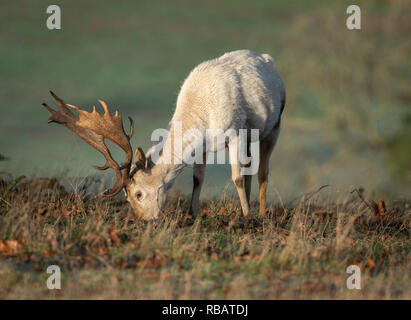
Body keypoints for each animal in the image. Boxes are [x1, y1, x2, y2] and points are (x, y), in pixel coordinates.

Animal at [42, 50, 286, 220]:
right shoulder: (204, 148)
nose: (144, 220)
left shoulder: (236, 131)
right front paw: (191, 214)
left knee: (262, 170)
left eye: (138, 193)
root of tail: (268, 59)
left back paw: (260, 213)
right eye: (126, 196)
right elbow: (198, 178)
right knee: (250, 165)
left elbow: (236, 177)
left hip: (274, 125)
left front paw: (245, 216)